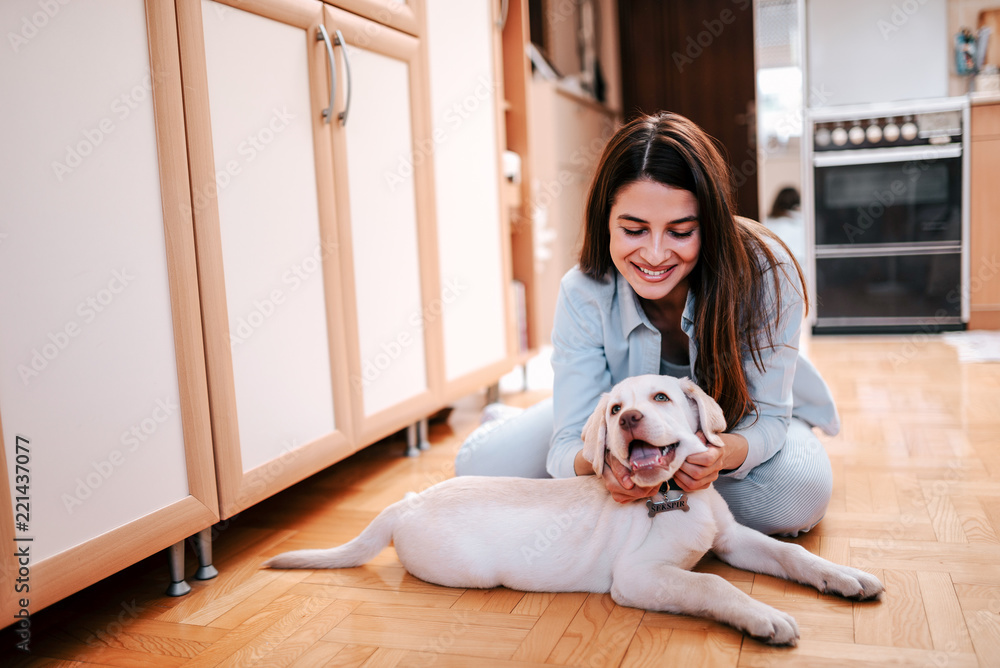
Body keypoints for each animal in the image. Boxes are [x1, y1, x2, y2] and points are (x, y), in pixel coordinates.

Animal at [268, 374, 884, 644]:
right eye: (614, 409)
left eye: (660, 398)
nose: (628, 420)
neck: (673, 496)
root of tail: (407, 500)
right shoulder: (638, 576)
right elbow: (712, 585)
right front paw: (764, 617)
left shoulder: (733, 540)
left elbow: (792, 555)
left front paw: (845, 576)